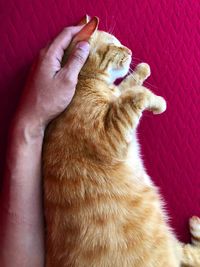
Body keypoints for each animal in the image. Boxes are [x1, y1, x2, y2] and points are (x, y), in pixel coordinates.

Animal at [43, 17, 200, 267]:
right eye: (115, 45)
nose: (130, 50)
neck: (85, 85)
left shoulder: (116, 97)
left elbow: (126, 87)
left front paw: (144, 72)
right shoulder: (111, 133)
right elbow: (137, 94)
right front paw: (156, 100)